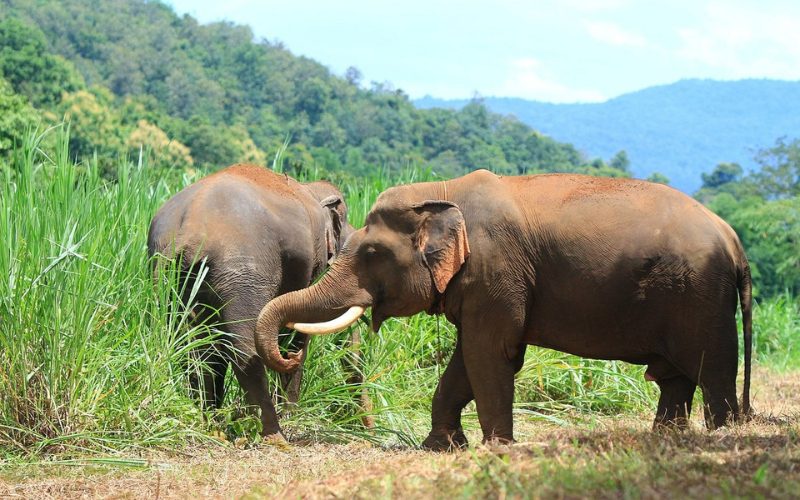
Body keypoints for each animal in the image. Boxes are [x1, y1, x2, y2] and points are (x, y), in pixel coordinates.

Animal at [147, 164, 368, 438]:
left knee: (191, 343)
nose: (365, 425)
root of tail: (186, 231)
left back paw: (211, 424)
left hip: (170, 275)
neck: (310, 188)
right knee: (242, 344)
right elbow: (296, 333)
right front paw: (291, 413)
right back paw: (272, 434)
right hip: (243, 271)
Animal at [255, 170, 752, 452]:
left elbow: (490, 354)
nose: (291, 354)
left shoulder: (496, 269)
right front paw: (441, 446)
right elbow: (467, 359)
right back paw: (666, 438)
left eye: (372, 252)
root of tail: (734, 241)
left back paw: (721, 436)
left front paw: (495, 448)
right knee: (676, 377)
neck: (442, 193)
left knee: (712, 369)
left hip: (701, 299)